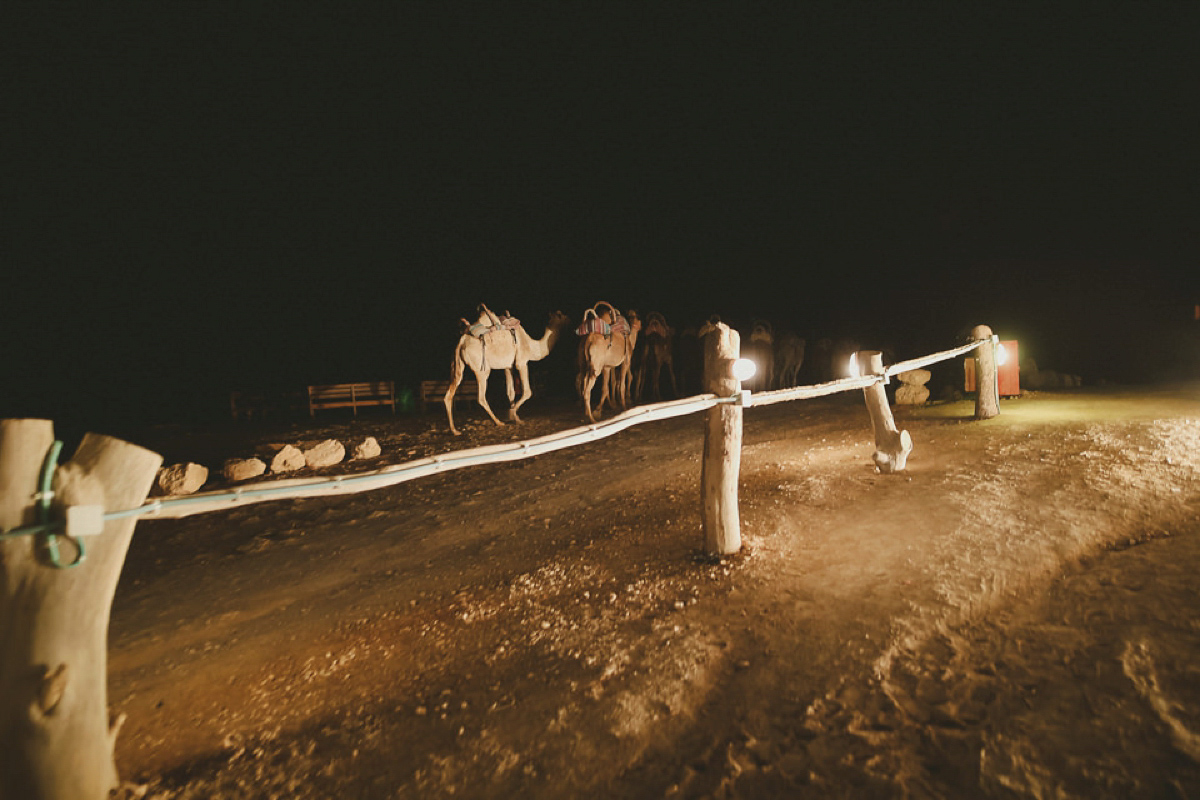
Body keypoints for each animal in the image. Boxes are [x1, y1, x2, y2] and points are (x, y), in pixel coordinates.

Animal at [446, 304, 571, 434]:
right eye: (562, 315)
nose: (570, 320)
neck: (532, 346)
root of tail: (461, 341)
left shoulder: (508, 366)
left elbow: (510, 392)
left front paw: (516, 418)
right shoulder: (522, 362)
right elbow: (527, 391)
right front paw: (511, 415)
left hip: (458, 366)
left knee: (449, 394)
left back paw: (454, 430)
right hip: (482, 369)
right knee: (481, 397)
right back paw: (499, 422)